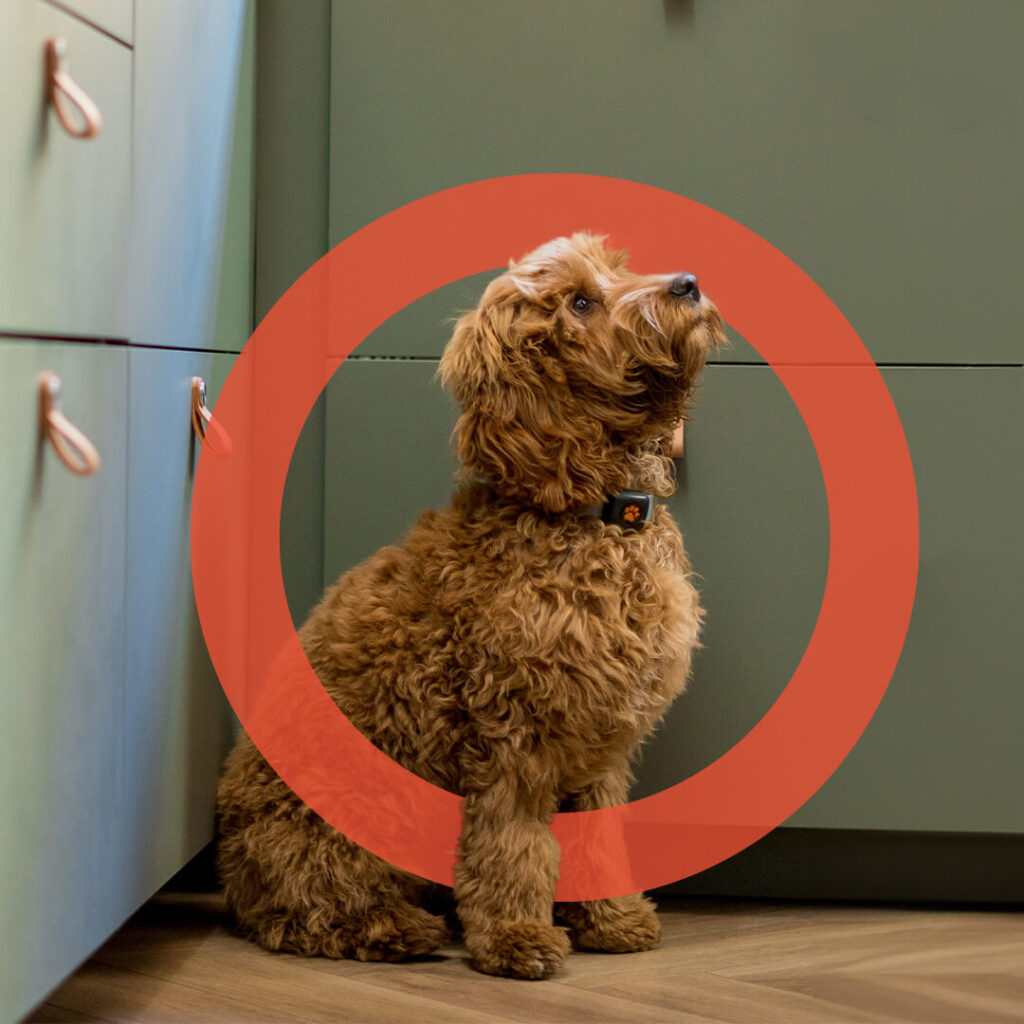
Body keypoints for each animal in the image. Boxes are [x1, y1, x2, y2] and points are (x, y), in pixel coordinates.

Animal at [217, 230, 729, 974]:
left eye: (617, 268)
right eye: (580, 302)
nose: (688, 283)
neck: (590, 516)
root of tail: (229, 867)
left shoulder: (602, 743)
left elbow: (597, 836)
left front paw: (612, 920)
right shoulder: (515, 734)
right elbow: (513, 846)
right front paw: (518, 938)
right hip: (352, 813)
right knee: (305, 908)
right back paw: (397, 928)